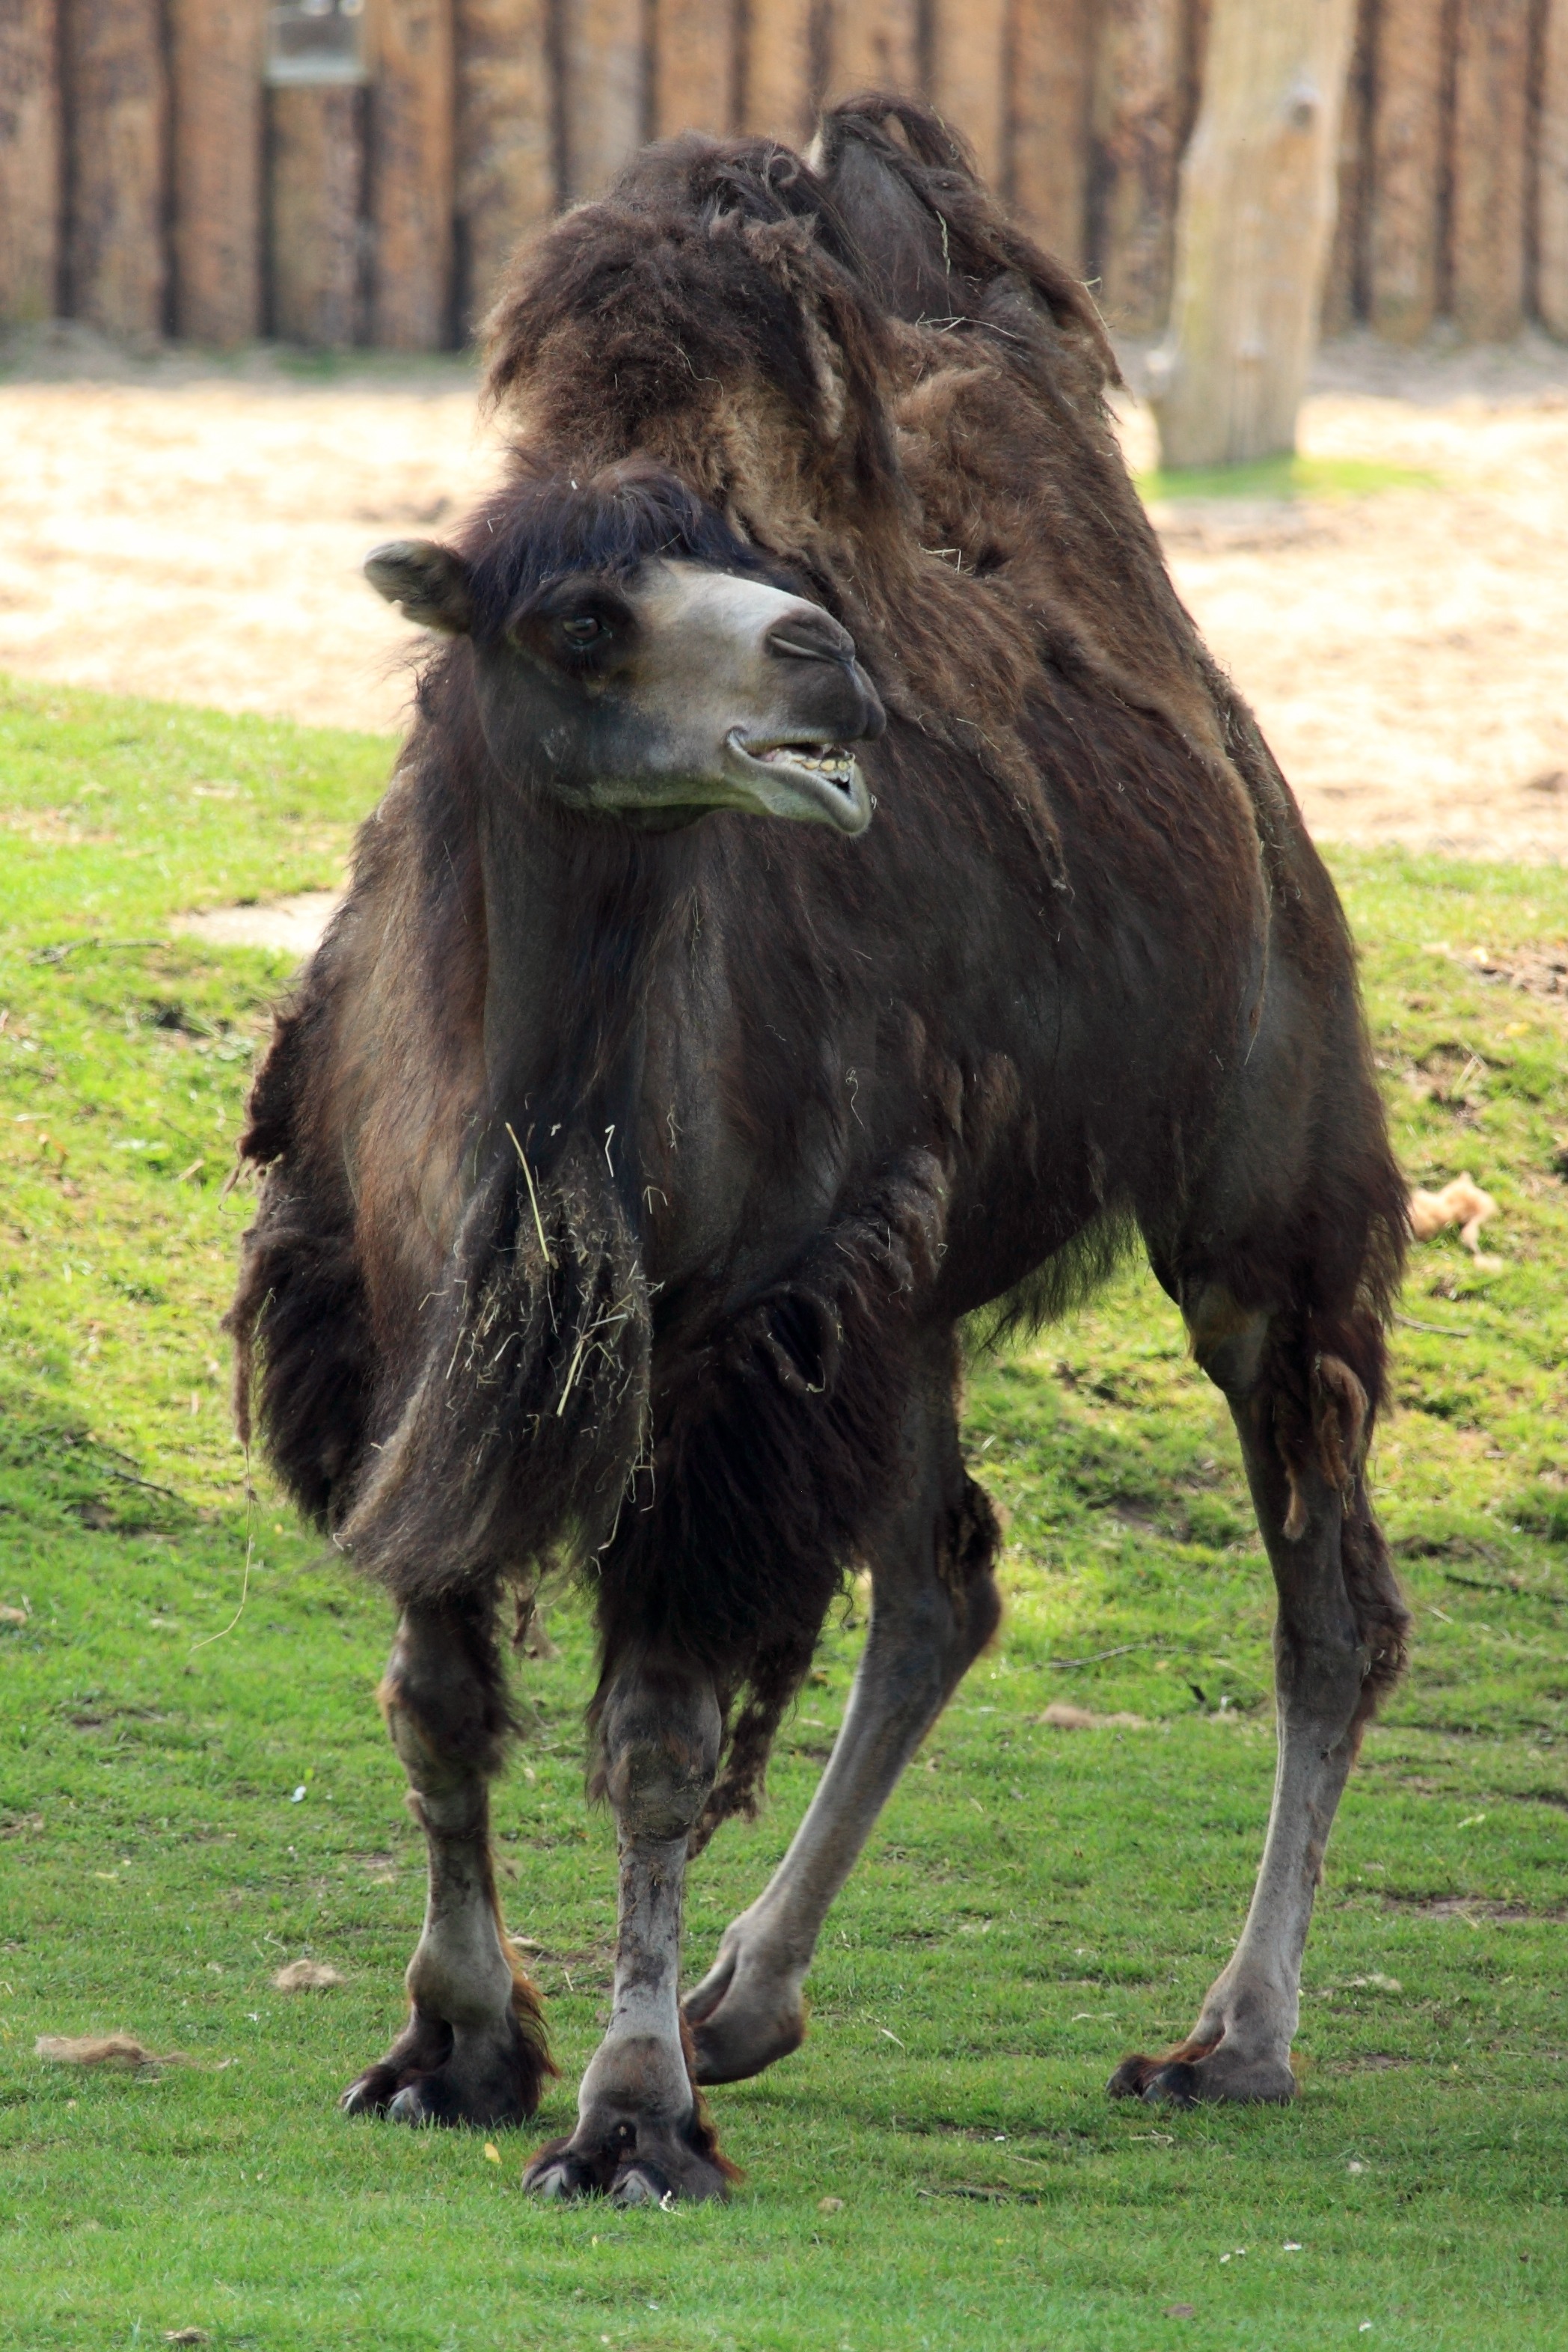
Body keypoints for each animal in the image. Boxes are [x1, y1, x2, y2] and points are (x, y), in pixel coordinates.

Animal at [228, 98, 1410, 2204]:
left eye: (747, 554)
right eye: (579, 619)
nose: (823, 662)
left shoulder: (725, 1355)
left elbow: (653, 1741)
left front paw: (624, 2120)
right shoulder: (390, 1330)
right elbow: (436, 1695)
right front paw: (453, 2044)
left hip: (1259, 1170)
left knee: (1322, 1594)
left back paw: (1229, 2040)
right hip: (901, 1288)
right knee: (946, 1581)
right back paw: (750, 2001)